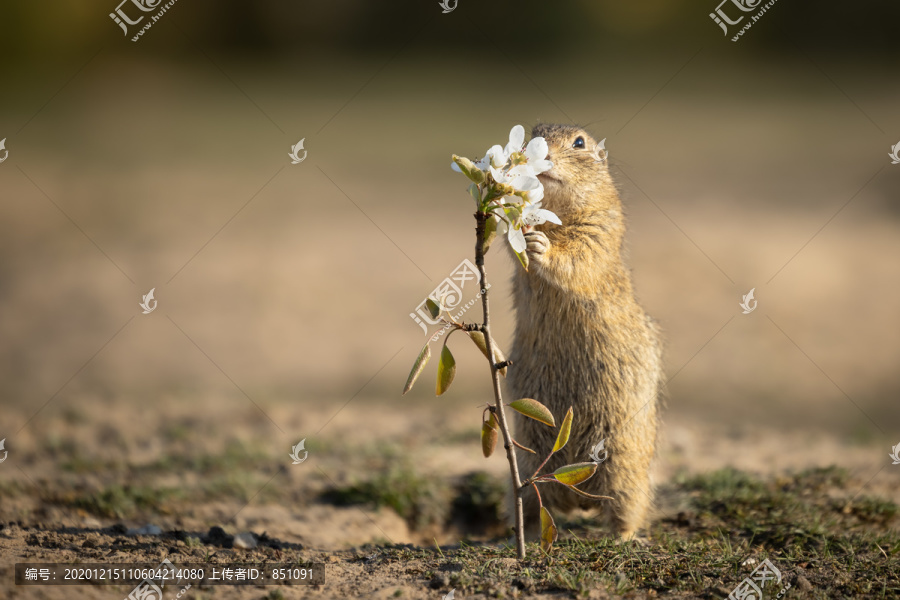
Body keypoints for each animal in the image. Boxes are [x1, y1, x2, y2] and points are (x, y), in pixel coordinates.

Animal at [510, 124, 664, 540]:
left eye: (579, 143)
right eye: (532, 134)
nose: (540, 156)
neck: (557, 211)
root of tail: (575, 494)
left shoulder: (601, 227)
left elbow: (580, 256)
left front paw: (541, 245)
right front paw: (524, 234)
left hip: (626, 465)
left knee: (627, 508)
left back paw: (625, 538)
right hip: (528, 463)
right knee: (534, 502)